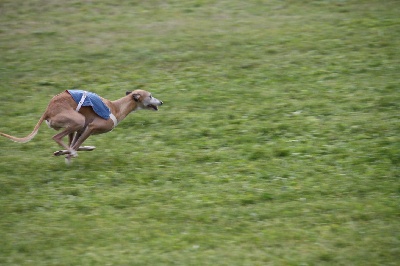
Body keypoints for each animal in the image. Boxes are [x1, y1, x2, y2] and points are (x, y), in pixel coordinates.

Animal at [0, 90, 162, 163]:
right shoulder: (90, 127)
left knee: (67, 140)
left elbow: (76, 145)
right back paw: (70, 152)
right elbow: (76, 146)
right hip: (79, 119)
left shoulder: (82, 130)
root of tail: (48, 109)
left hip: (75, 125)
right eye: (150, 96)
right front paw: (69, 155)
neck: (116, 107)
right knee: (57, 137)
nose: (161, 102)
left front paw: (62, 153)